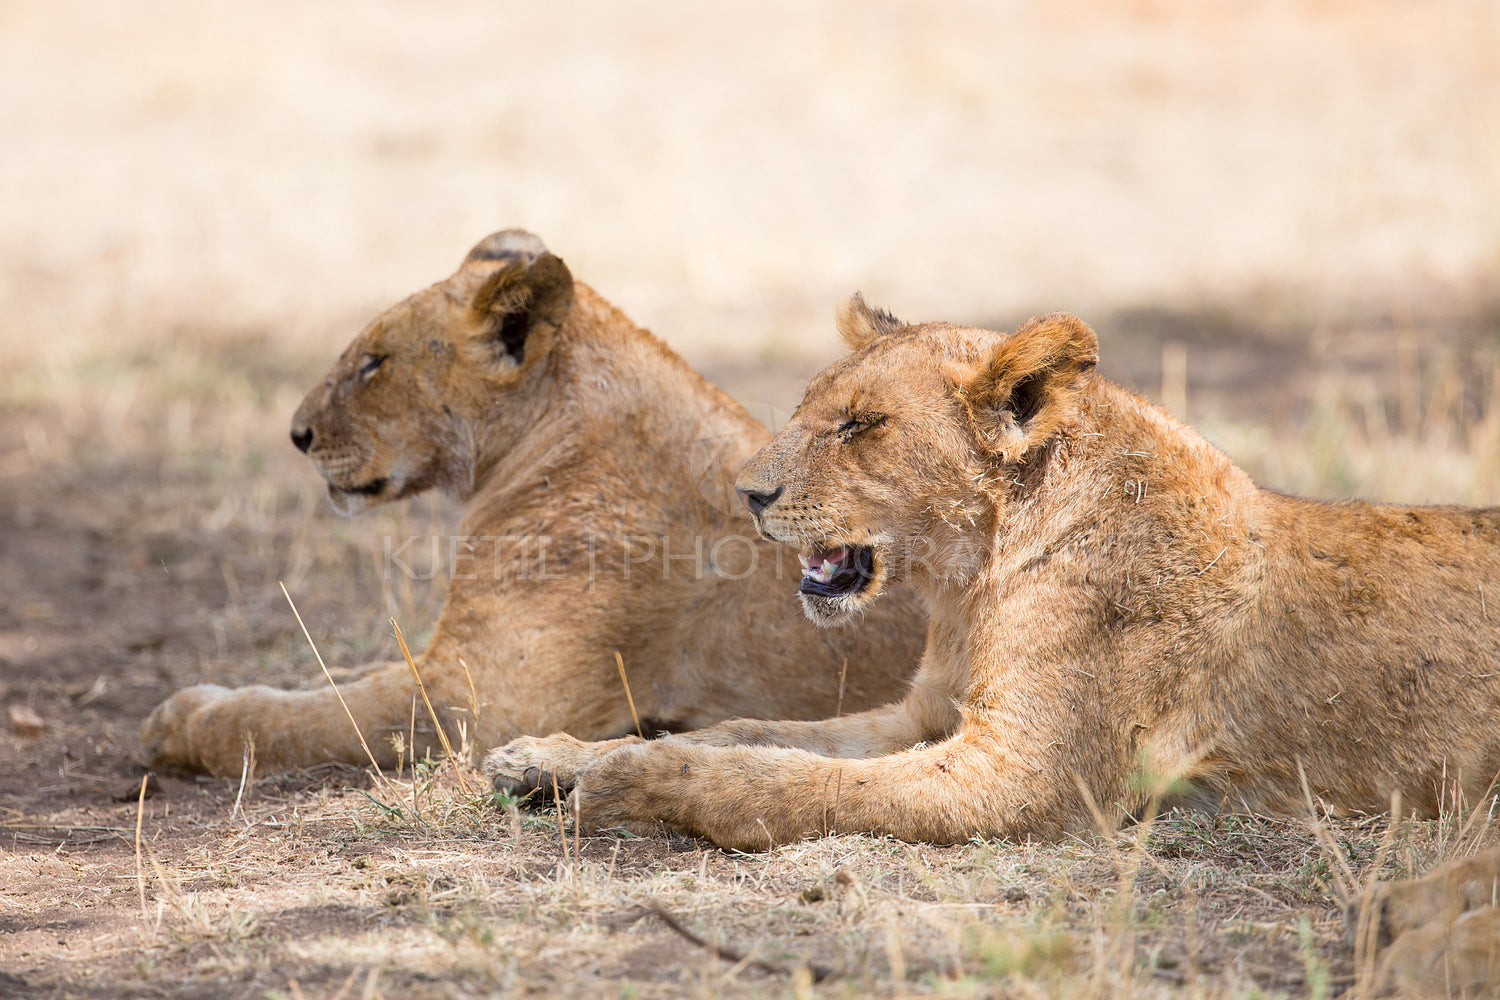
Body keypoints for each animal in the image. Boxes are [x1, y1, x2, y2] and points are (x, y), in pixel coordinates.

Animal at [141, 236, 924, 779]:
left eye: (374, 363)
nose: (297, 434)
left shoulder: (475, 700)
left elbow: (293, 720)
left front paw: (178, 719)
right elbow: (326, 682)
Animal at [483, 296, 1500, 851]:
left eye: (861, 426)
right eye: (809, 411)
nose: (749, 493)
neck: (970, 583)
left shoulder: (1025, 774)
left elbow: (793, 782)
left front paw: (631, 780)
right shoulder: (921, 716)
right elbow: (752, 732)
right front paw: (550, 757)